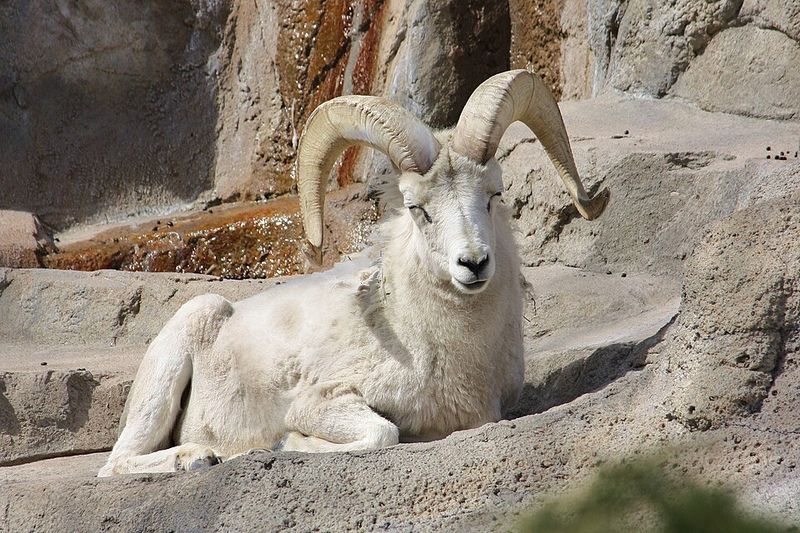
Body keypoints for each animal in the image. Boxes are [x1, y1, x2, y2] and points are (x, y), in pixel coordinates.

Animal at [98, 69, 609, 476]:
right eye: (417, 208)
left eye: (494, 194)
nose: (473, 264)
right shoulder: (322, 402)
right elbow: (383, 433)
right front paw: (286, 444)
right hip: (171, 366)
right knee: (116, 463)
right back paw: (202, 456)